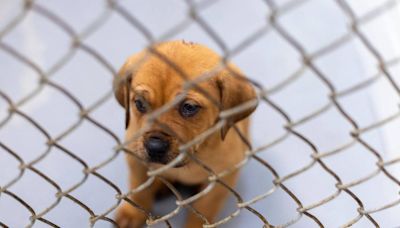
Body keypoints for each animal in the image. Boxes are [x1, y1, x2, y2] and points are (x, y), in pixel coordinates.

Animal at [113, 41, 256, 228]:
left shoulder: (220, 181)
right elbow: (139, 189)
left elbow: (204, 209)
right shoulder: (136, 159)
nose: (154, 147)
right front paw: (132, 213)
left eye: (189, 107)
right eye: (140, 103)